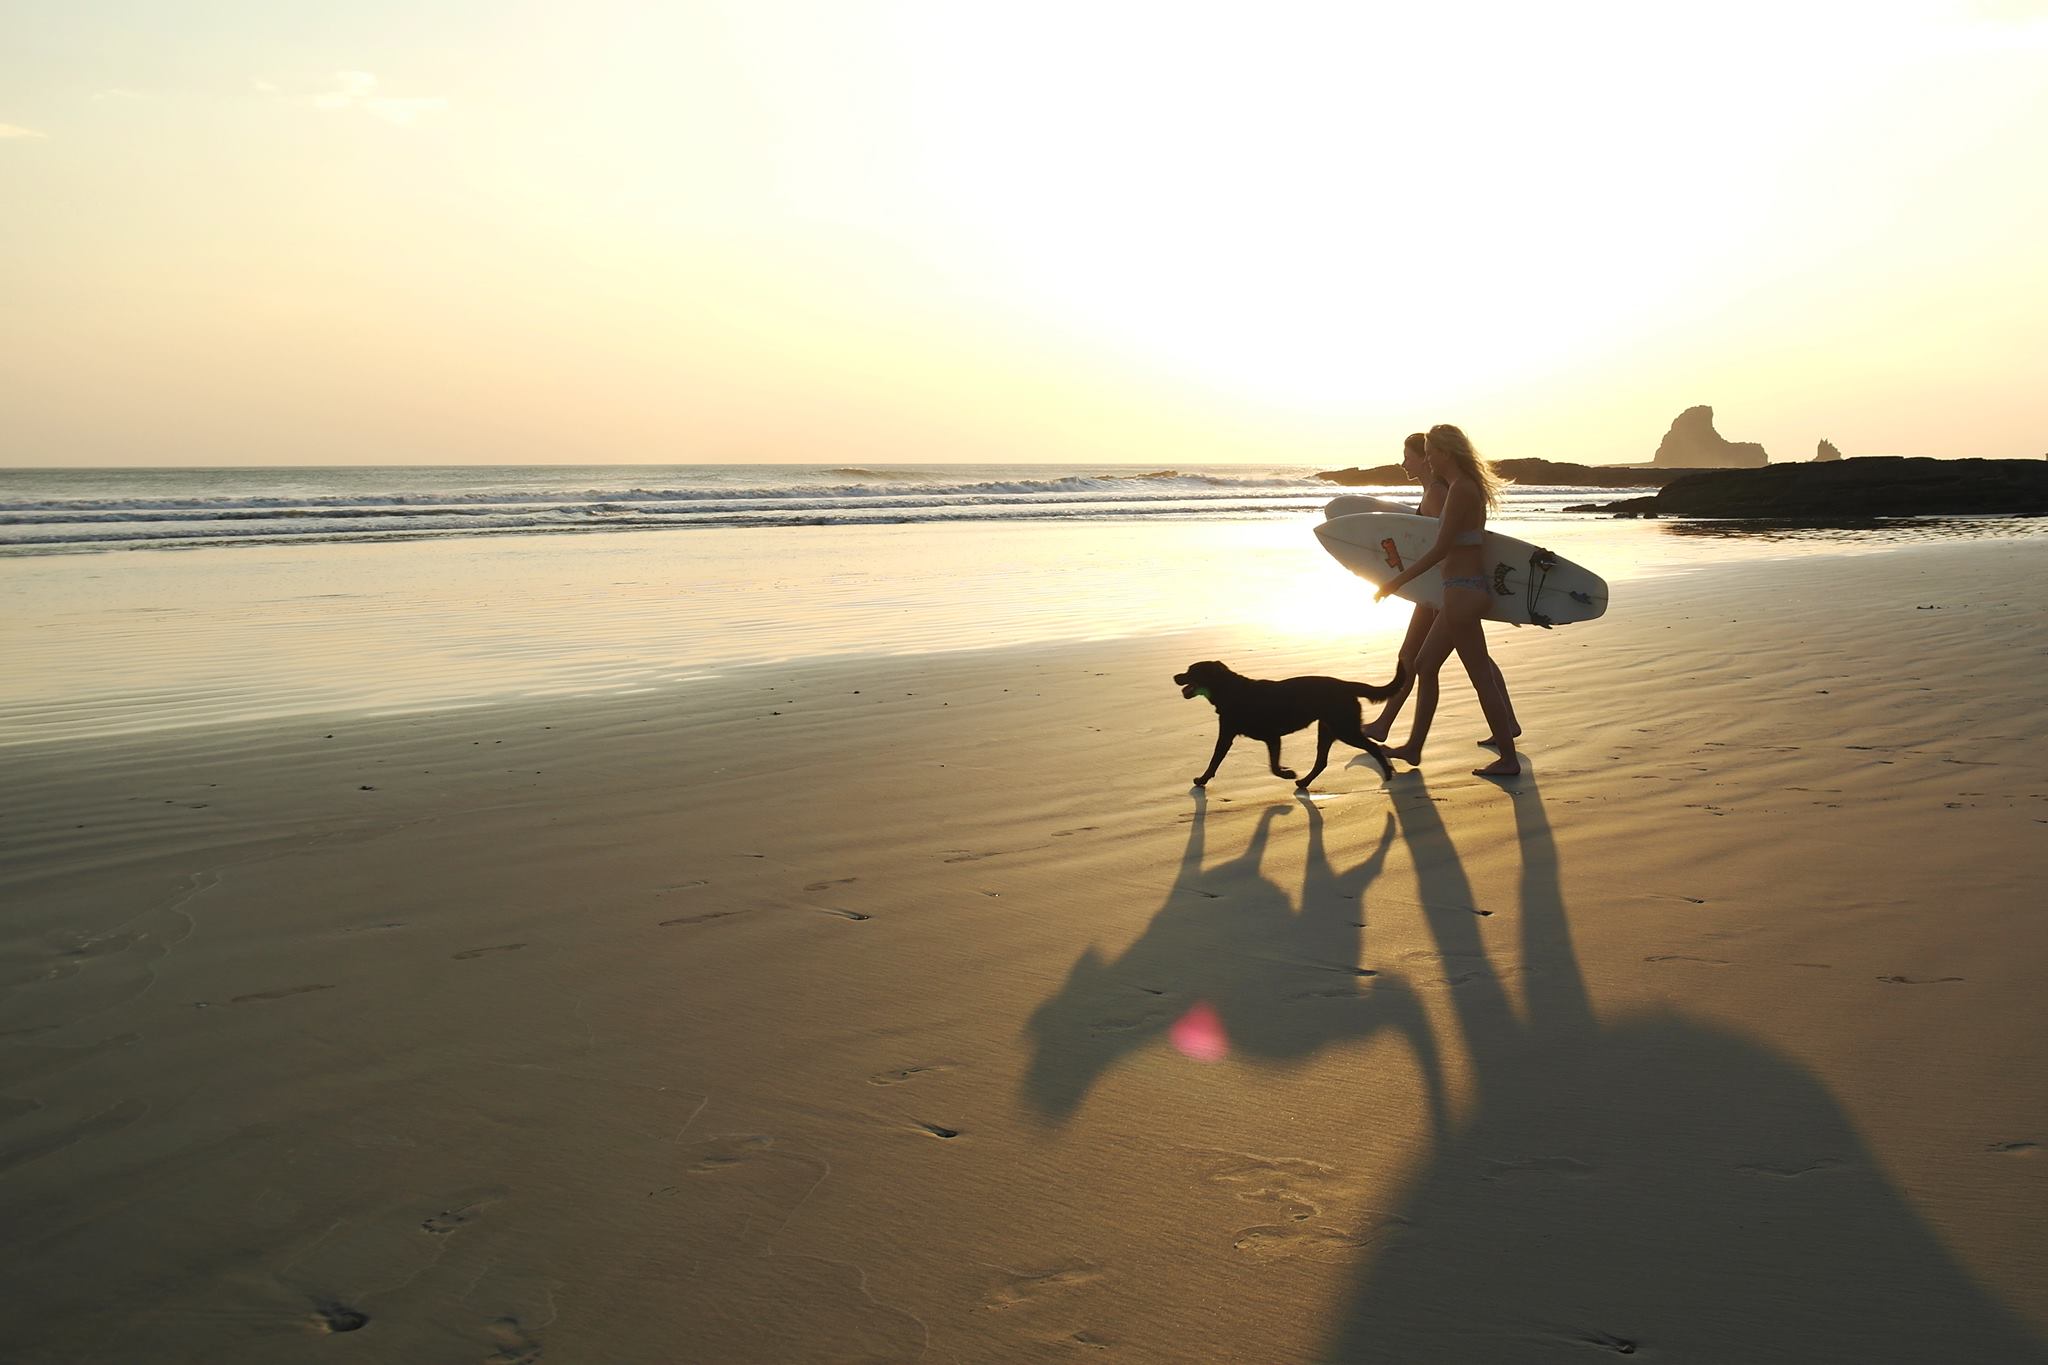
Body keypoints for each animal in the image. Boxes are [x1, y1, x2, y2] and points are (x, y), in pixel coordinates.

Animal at [1179, 663, 1400, 789]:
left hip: (1344, 728)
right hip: (1327, 729)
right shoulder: (1227, 735)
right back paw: (1304, 783)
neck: (1231, 691)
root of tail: (1346, 684)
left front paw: (1287, 773)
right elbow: (1215, 760)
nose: (1175, 676)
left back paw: (1388, 774)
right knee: (1322, 762)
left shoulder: (1271, 737)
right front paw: (1202, 780)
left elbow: (1274, 767)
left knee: (1373, 747)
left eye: (1192, 671)